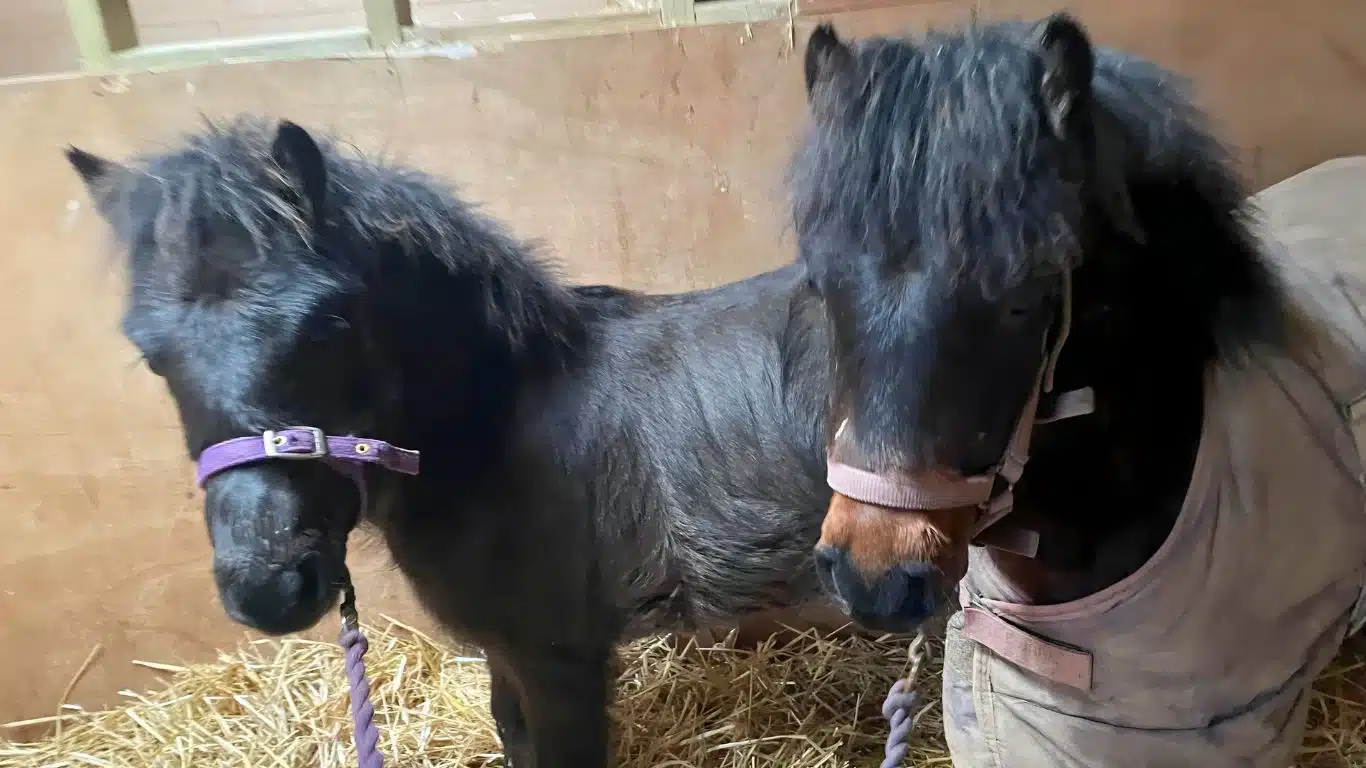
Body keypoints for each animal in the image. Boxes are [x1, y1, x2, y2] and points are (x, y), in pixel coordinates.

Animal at [65, 117, 855, 768]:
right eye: (151, 354)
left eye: (328, 325)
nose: (267, 589)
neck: (493, 430)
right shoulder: (508, 651)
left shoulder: (561, 658)